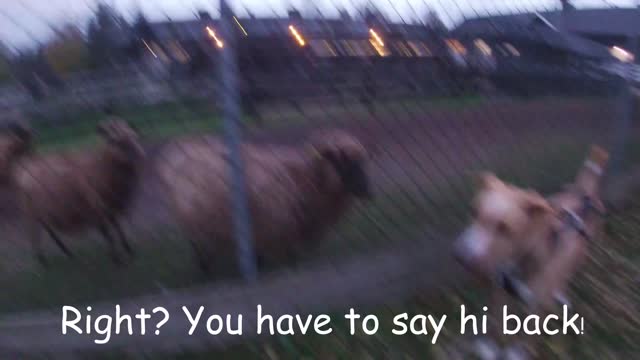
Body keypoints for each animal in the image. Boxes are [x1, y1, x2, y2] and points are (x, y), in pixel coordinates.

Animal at [12, 118, 145, 264]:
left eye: (135, 137)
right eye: (116, 141)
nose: (141, 156)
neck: (100, 168)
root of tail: (27, 165)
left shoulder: (112, 206)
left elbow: (118, 228)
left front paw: (129, 249)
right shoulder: (97, 209)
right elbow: (108, 234)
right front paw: (116, 259)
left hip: (43, 211)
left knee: (49, 230)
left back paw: (67, 252)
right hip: (30, 212)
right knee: (34, 234)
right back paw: (42, 260)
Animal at [157, 129, 372, 272]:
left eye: (362, 161)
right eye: (339, 160)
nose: (366, 191)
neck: (303, 177)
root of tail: (181, 144)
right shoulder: (269, 225)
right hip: (193, 220)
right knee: (200, 249)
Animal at [452, 145, 608, 358]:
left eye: (504, 228)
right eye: (473, 211)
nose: (460, 256)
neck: (521, 258)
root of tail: (584, 193)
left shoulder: (537, 310)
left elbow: (527, 338)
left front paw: (516, 354)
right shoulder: (500, 291)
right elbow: (496, 323)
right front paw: (489, 346)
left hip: (582, 253)